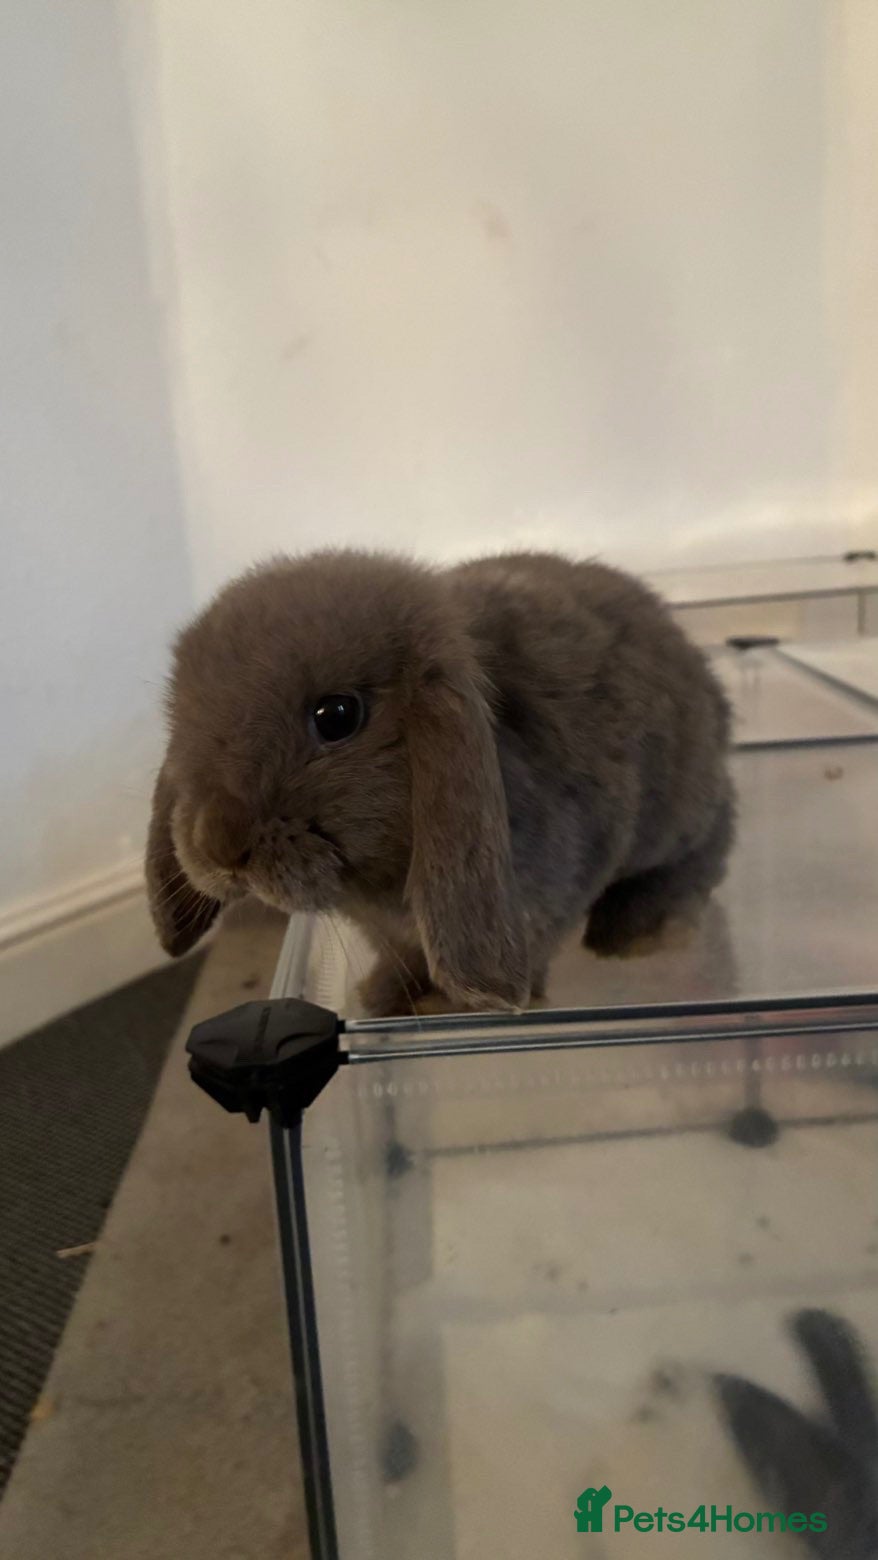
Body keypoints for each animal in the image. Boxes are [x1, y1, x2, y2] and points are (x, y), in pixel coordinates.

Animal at [146, 549, 734, 1015]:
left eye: (336, 716)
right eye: (182, 720)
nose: (218, 847)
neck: (376, 884)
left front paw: (453, 1005)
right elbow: (404, 956)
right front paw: (385, 998)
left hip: (678, 813)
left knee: (711, 838)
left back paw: (644, 932)